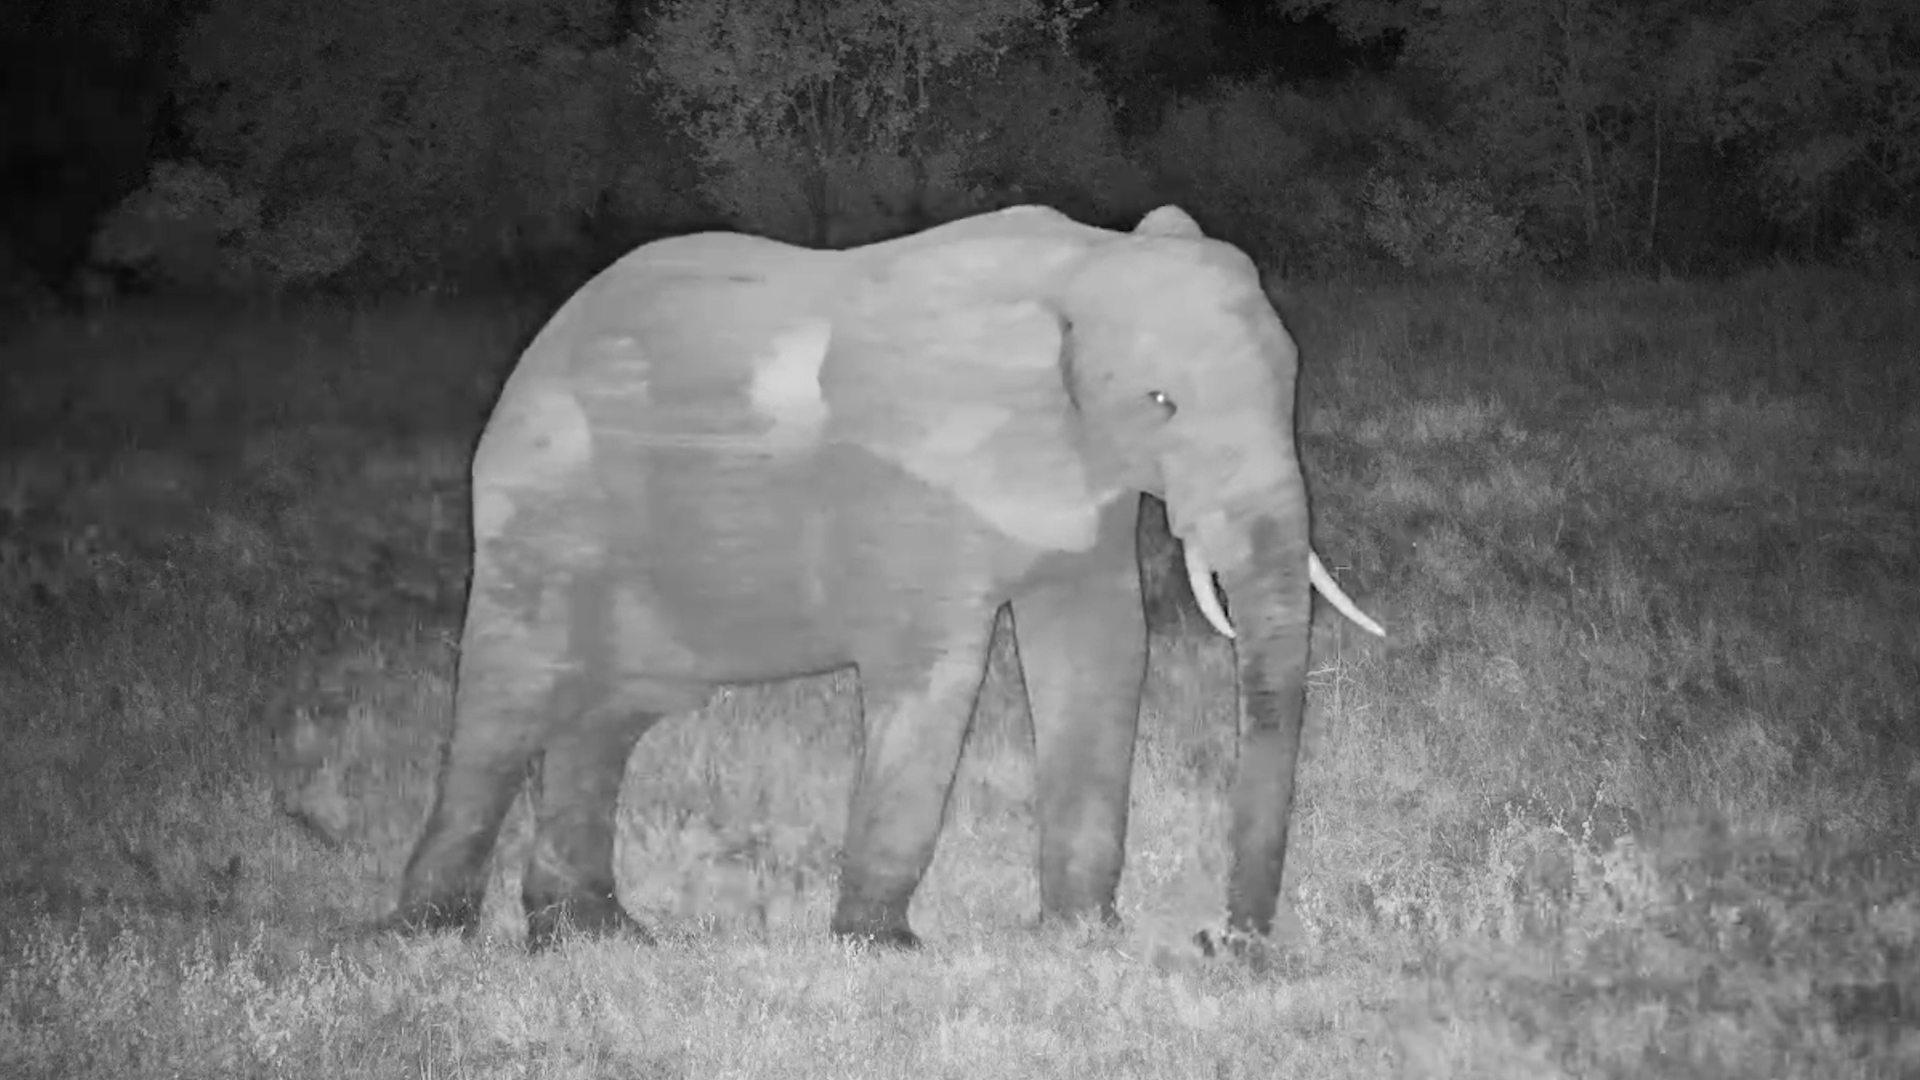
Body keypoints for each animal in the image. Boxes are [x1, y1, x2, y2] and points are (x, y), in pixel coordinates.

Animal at [391, 203, 1384, 951]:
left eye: (1290, 382)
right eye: (1162, 402)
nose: (1226, 942)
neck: (1078, 262)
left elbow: (1104, 651)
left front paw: (1081, 933)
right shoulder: (914, 489)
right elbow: (937, 673)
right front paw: (882, 946)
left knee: (607, 713)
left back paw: (593, 936)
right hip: (542, 499)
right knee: (510, 699)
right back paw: (431, 934)